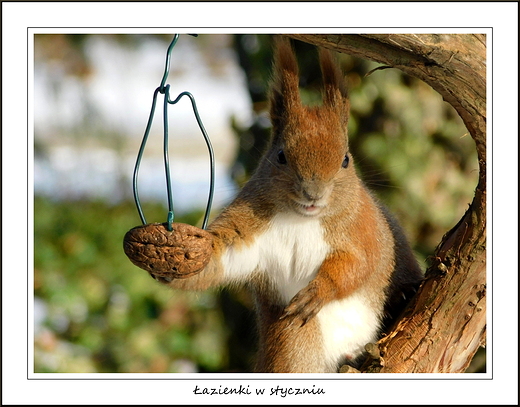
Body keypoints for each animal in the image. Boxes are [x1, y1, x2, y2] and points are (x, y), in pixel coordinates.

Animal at [125, 37, 422, 372]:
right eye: (280, 156)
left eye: (346, 160)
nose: (313, 194)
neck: (302, 219)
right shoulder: (249, 230)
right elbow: (221, 258)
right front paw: (172, 258)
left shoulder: (363, 229)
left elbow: (357, 264)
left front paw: (318, 291)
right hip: (295, 340)